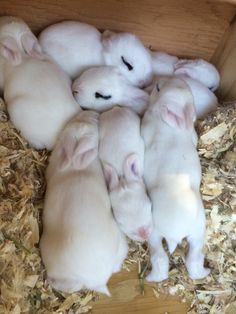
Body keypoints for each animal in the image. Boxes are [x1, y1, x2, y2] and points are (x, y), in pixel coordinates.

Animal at [142, 76, 210, 282]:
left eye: (157, 88)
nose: (159, 79)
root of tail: (175, 235)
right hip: (198, 232)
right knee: (194, 259)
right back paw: (205, 272)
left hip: (154, 233)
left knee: (159, 258)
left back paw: (150, 278)